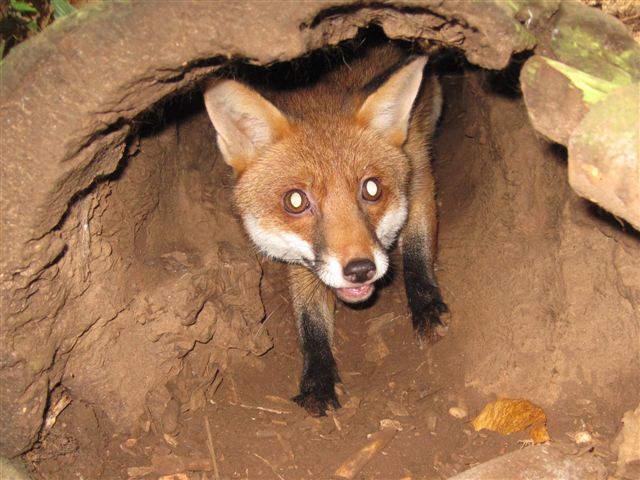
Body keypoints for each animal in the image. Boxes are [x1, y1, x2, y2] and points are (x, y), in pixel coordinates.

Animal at [203, 45, 448, 417]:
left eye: (372, 189)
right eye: (295, 201)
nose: (360, 270)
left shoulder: (419, 176)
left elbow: (417, 251)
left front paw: (426, 307)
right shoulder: (301, 259)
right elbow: (310, 318)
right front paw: (317, 378)